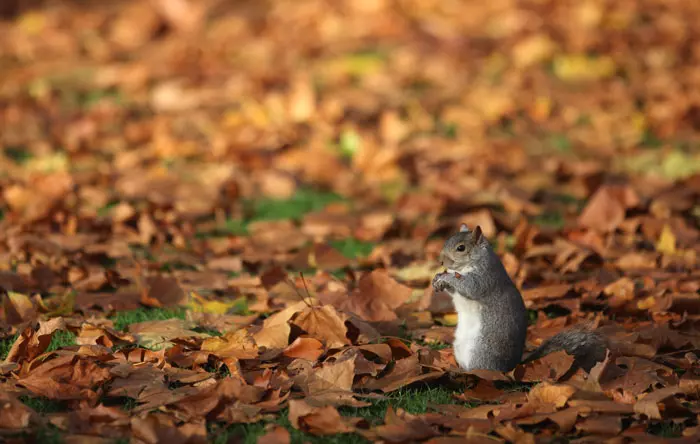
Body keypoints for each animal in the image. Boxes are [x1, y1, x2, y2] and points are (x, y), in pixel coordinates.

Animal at [430, 224, 604, 372]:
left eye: (461, 248)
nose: (441, 261)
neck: (466, 267)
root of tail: (512, 366)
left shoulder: (486, 277)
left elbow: (470, 287)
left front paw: (447, 278)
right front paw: (438, 279)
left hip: (481, 351)